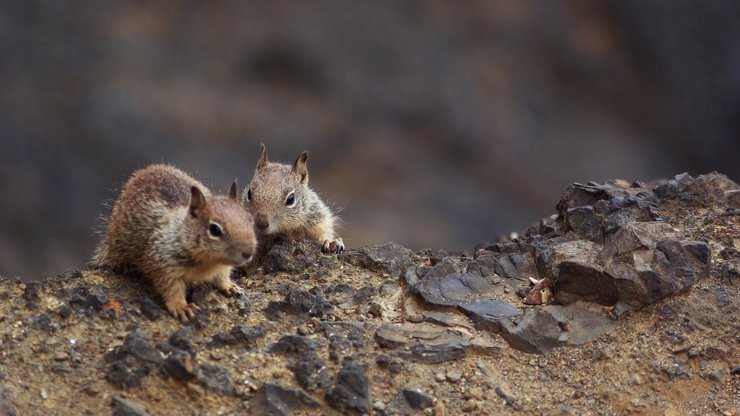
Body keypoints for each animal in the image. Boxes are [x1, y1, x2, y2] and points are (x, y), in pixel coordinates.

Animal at [92, 164, 258, 320]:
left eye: (249, 219)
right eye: (215, 229)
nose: (249, 253)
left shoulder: (222, 267)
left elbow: (222, 276)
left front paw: (230, 286)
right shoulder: (163, 263)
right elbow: (171, 289)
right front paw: (181, 307)